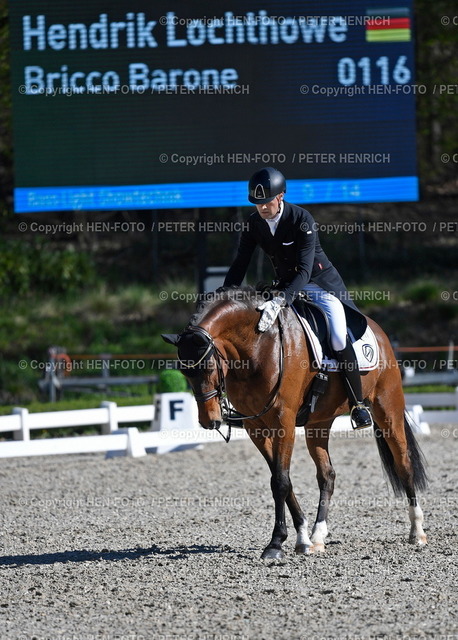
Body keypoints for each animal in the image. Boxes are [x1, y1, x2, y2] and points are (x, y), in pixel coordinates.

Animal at [163, 288, 428, 556]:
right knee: (327, 475)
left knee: (403, 464)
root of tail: (379, 331)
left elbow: (280, 481)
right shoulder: (255, 427)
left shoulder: (284, 422)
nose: (209, 421)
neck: (256, 346)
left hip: (387, 409)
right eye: (184, 372)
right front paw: (302, 537)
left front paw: (275, 543)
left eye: (208, 367)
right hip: (319, 423)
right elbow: (282, 478)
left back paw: (417, 532)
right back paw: (318, 536)